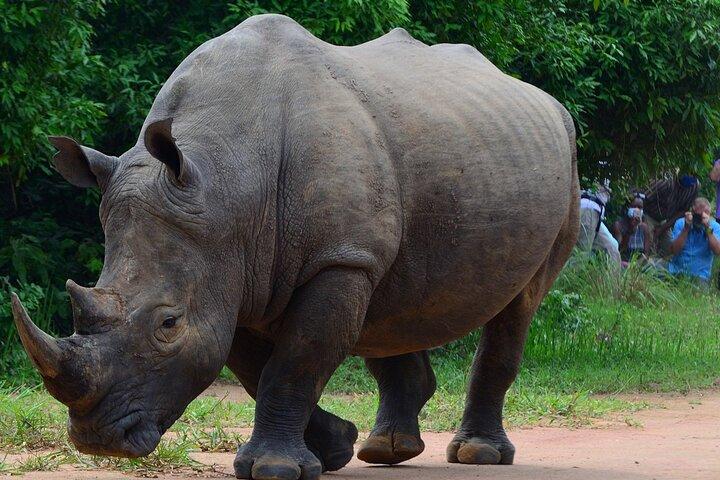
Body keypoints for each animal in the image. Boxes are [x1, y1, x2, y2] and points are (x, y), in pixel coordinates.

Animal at [11, 14, 578, 480]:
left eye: (168, 324)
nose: (100, 440)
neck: (225, 181)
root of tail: (545, 100)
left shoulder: (333, 259)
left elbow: (294, 360)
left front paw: (276, 470)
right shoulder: (230, 265)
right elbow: (253, 366)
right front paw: (334, 449)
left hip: (564, 168)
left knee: (520, 302)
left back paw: (477, 455)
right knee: (395, 298)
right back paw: (385, 450)